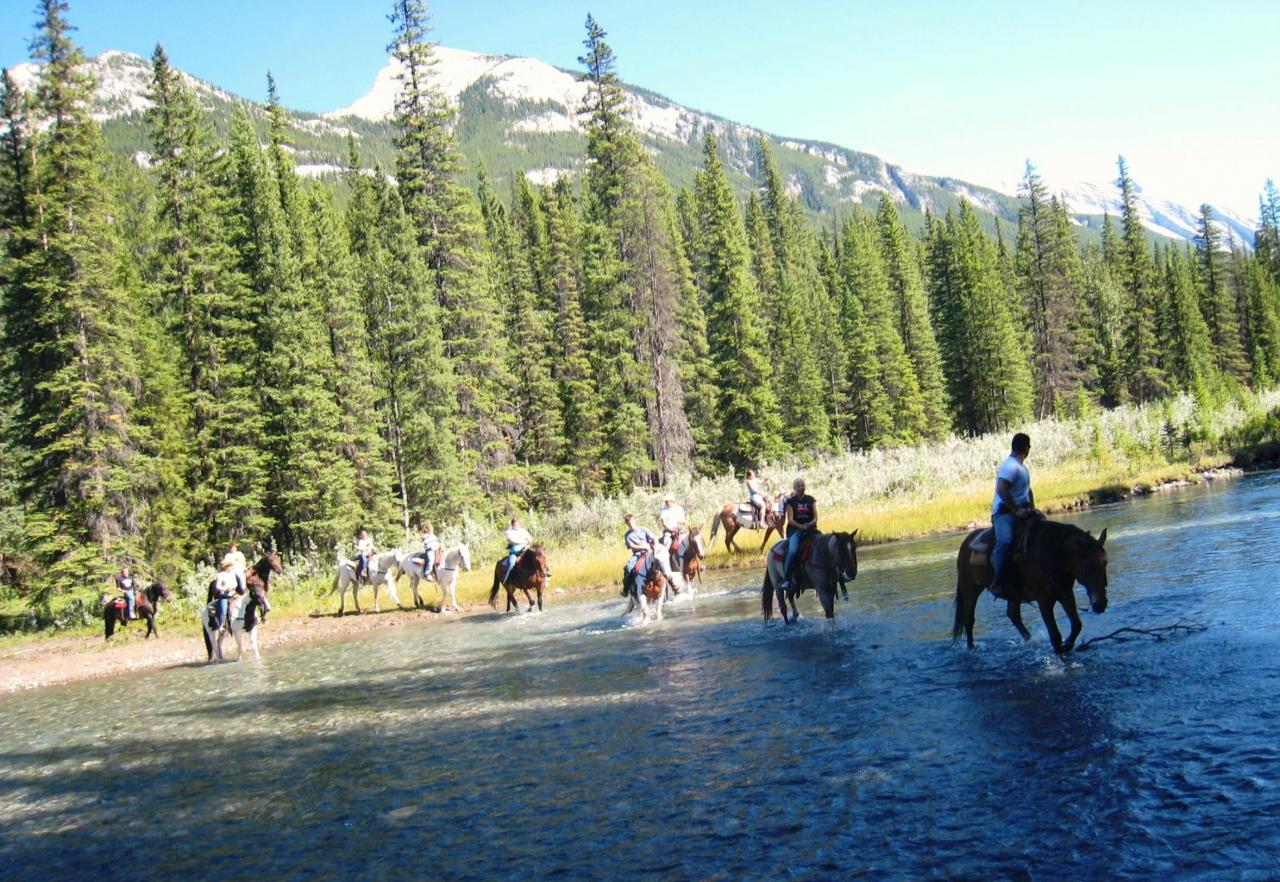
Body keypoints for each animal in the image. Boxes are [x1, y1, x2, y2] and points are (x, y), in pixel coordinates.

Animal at [952, 517, 1111, 652]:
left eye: (1105, 562)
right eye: (1086, 565)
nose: (1100, 604)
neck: (1051, 555)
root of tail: (966, 542)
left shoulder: (1066, 594)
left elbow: (1077, 625)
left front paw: (1068, 645)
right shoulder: (1044, 601)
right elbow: (1055, 636)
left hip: (1014, 594)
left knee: (1013, 614)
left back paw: (1031, 640)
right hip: (970, 589)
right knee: (969, 619)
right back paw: (971, 648)